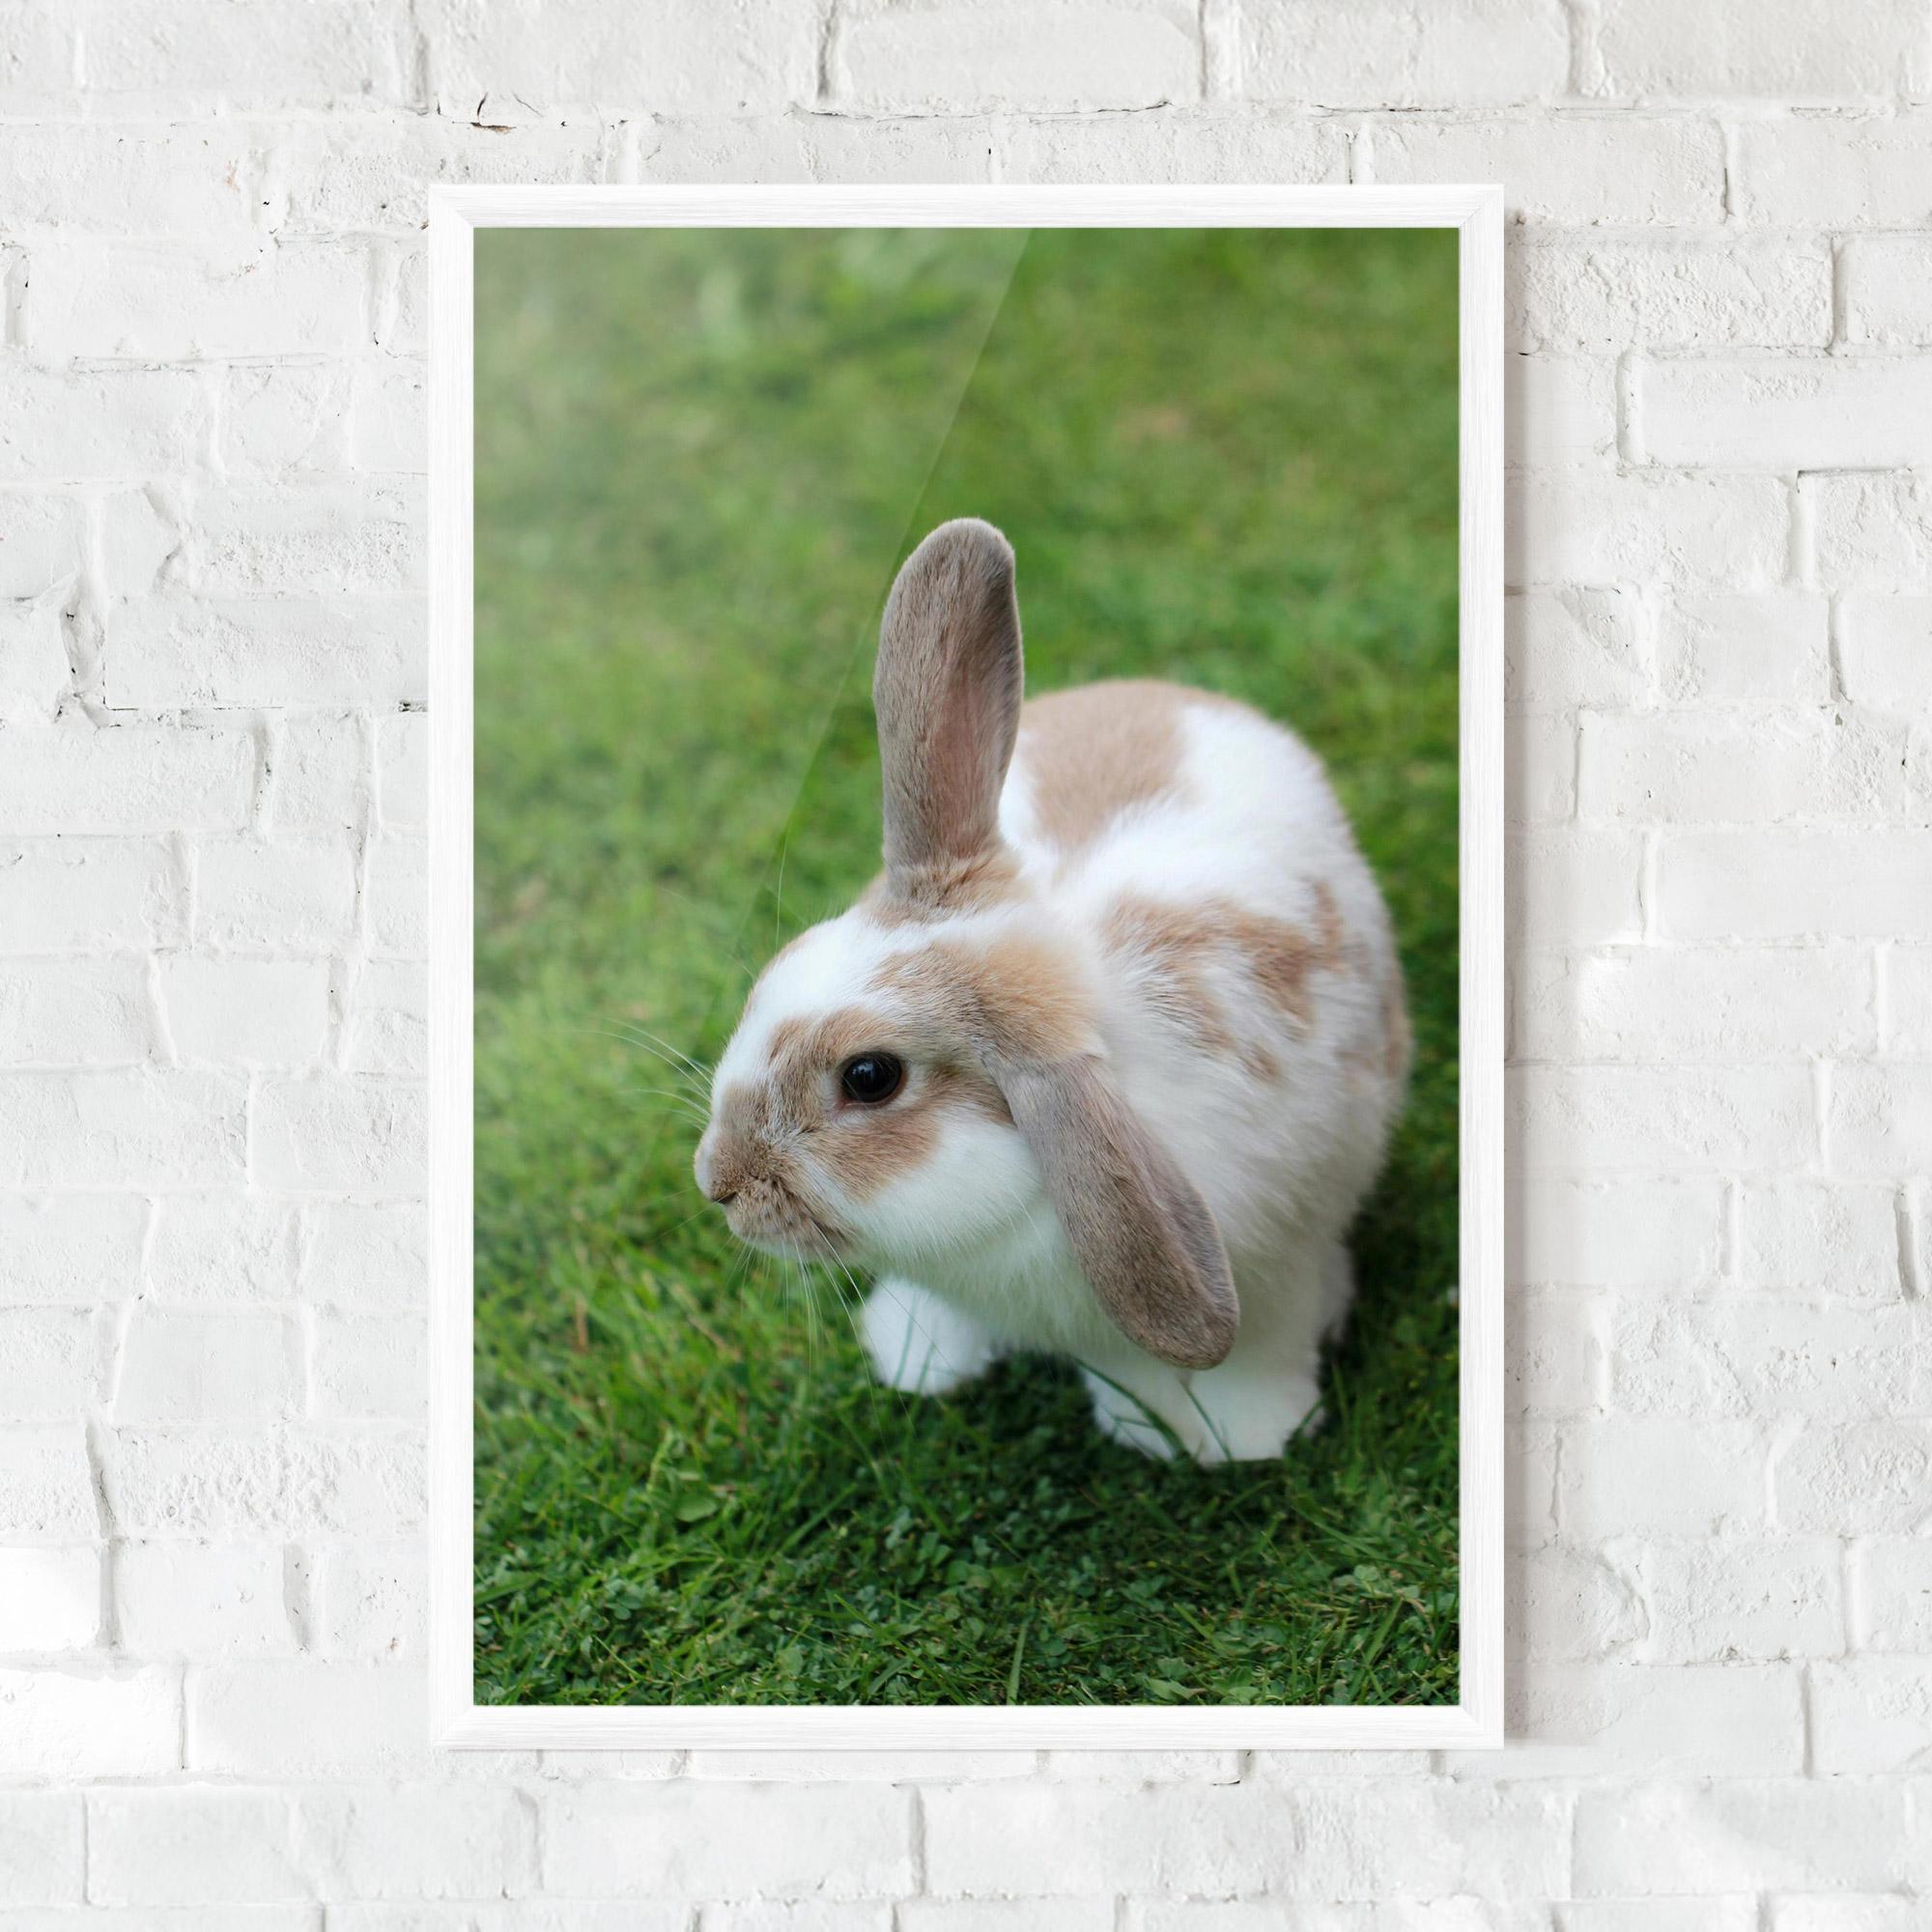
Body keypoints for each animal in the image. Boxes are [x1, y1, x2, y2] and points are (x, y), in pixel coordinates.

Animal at [694, 518, 1411, 1464]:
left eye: (870, 1078)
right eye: (783, 966)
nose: (718, 1183)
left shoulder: (1273, 1267)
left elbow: (1255, 1353)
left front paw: (1244, 1436)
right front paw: (917, 1357)